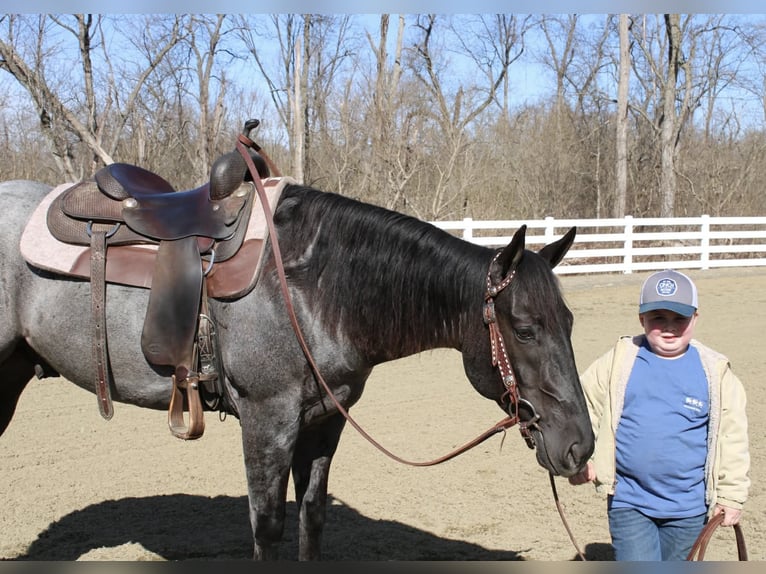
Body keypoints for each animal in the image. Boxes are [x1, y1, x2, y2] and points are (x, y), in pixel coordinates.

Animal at [0, 177, 594, 560]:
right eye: (525, 329)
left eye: (568, 321)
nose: (580, 446)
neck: (314, 287)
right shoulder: (268, 423)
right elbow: (268, 528)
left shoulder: (324, 421)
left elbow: (312, 519)